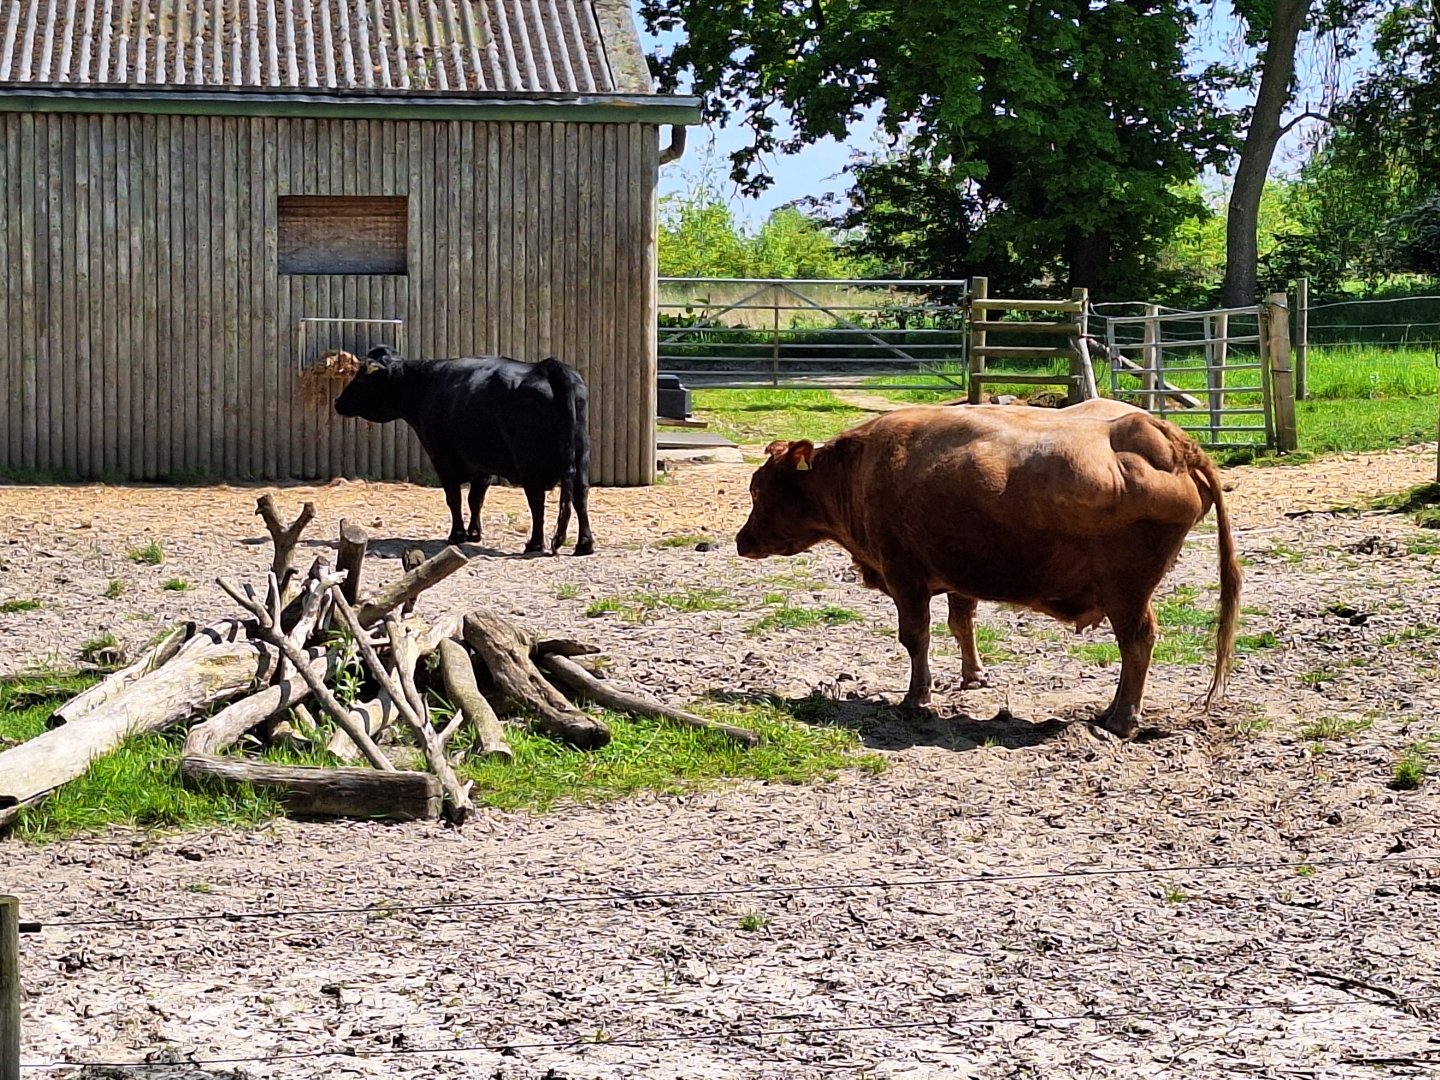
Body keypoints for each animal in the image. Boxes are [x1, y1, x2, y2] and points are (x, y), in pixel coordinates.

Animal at [334, 345, 594, 556]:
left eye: (361, 379)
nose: (338, 401)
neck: (425, 385)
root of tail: (546, 366)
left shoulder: (443, 458)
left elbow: (455, 498)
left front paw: (457, 534)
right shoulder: (481, 463)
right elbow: (475, 499)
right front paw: (474, 533)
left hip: (529, 463)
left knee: (537, 501)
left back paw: (535, 544)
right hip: (581, 457)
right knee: (580, 495)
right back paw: (584, 544)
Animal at [735, 401, 1240, 739]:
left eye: (760, 489)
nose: (743, 541)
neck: (860, 468)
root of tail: (1168, 440)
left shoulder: (906, 577)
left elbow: (915, 639)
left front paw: (917, 700)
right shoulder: (959, 572)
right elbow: (962, 622)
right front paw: (973, 676)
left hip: (1127, 591)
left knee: (1137, 641)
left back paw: (1120, 718)